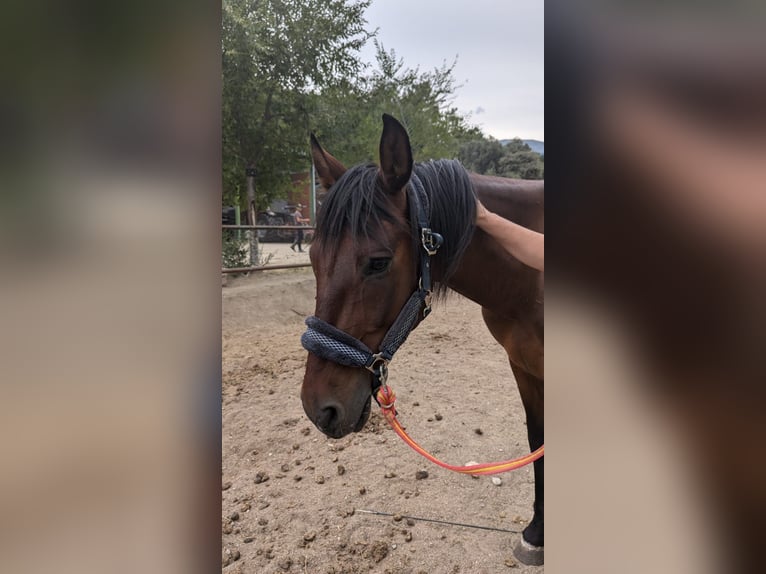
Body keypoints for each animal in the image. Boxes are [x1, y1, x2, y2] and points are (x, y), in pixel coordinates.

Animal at [300, 113, 544, 568]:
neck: (530, 279)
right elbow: (537, 441)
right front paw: (536, 535)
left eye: (378, 263)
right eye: (312, 257)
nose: (318, 408)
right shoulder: (523, 365)